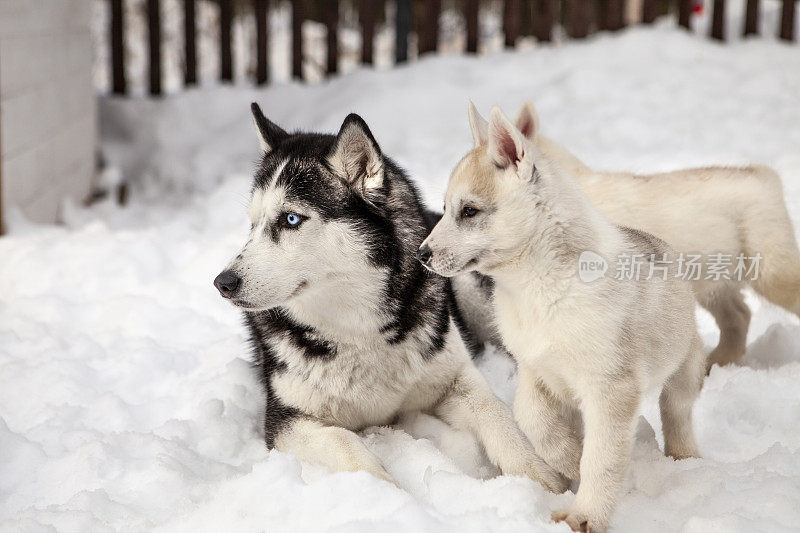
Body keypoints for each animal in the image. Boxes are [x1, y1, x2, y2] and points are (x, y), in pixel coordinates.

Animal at [211, 105, 564, 494]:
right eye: (253, 225)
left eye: (290, 219)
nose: (223, 282)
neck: (357, 329)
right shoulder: (285, 421)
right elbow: (345, 442)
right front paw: (387, 490)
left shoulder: (454, 380)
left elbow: (496, 412)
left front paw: (540, 477)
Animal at [422, 106, 704, 528]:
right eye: (443, 210)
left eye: (468, 211)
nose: (421, 254)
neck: (537, 287)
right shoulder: (535, 368)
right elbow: (531, 418)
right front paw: (568, 458)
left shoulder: (610, 388)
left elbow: (602, 459)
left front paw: (585, 516)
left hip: (683, 370)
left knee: (677, 412)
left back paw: (685, 459)